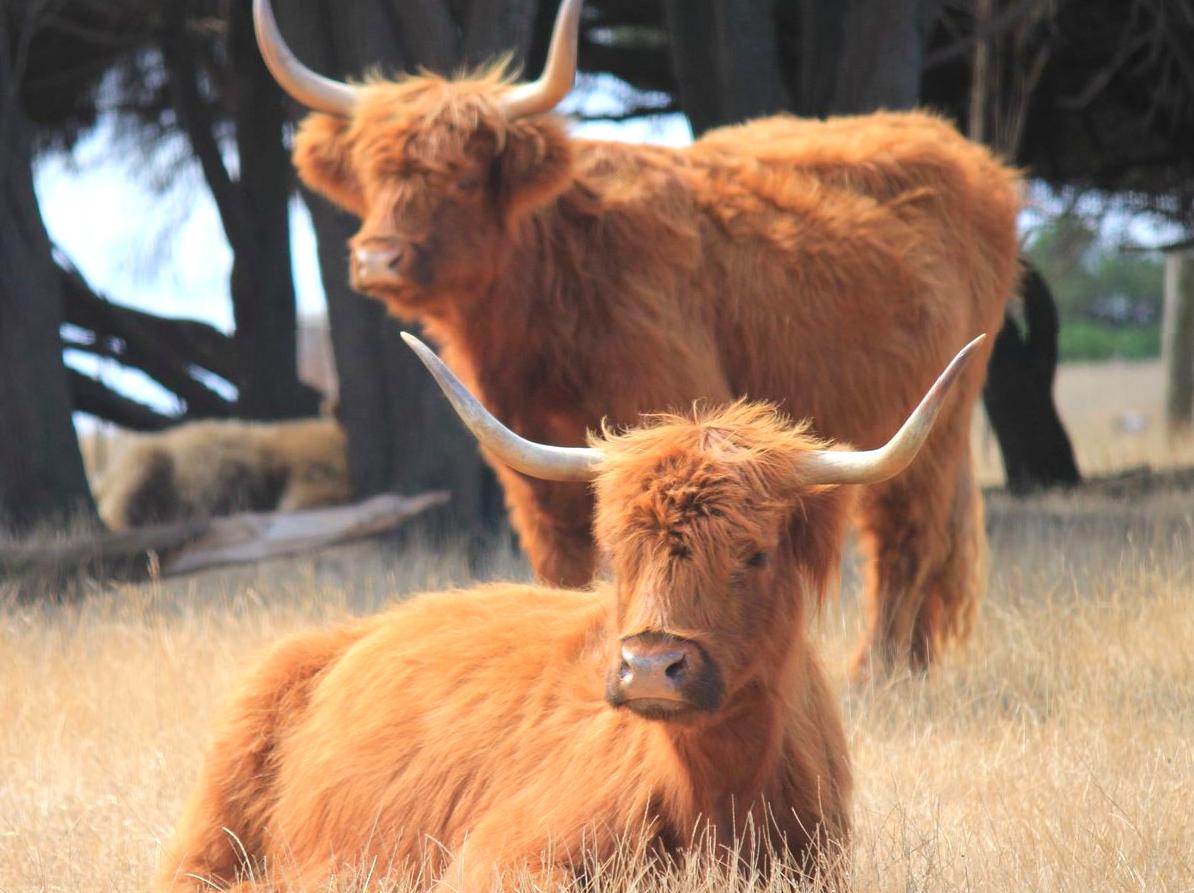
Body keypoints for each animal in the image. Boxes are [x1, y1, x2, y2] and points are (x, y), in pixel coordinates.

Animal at [154, 334, 983, 893]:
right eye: (617, 550)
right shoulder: (499, 855)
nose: (650, 665)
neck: (715, 791)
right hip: (214, 820)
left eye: (754, 553)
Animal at [256, 0, 1022, 678]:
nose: (376, 258)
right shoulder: (532, 463)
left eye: (464, 179)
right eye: (371, 175)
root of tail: (970, 155)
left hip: (932, 421)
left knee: (907, 537)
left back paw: (879, 672)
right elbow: (564, 562)